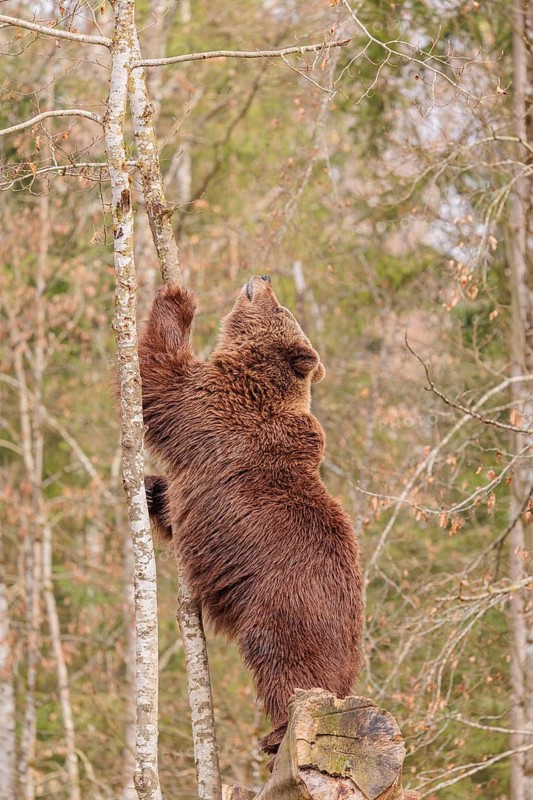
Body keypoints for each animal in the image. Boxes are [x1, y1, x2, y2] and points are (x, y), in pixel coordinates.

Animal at [138, 275, 363, 753]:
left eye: (280, 309)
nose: (263, 278)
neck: (256, 377)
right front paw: (151, 490)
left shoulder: (213, 406)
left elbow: (162, 377)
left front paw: (177, 299)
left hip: (285, 605)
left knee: (285, 666)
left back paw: (277, 733)